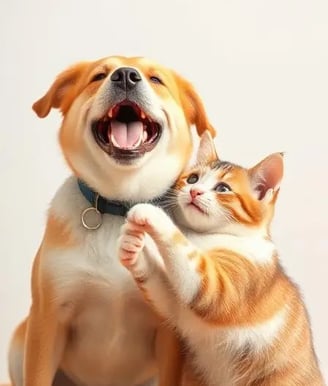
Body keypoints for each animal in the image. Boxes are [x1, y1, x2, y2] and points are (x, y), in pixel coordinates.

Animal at [7, 56, 215, 386]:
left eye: (156, 79)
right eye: (98, 76)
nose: (126, 76)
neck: (121, 207)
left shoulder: (169, 333)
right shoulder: (47, 319)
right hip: (18, 342)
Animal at [117, 131, 322, 384]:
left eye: (223, 188)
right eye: (192, 179)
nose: (194, 191)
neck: (202, 238)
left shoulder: (222, 287)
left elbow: (192, 264)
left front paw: (152, 213)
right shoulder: (179, 308)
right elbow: (166, 295)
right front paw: (132, 245)